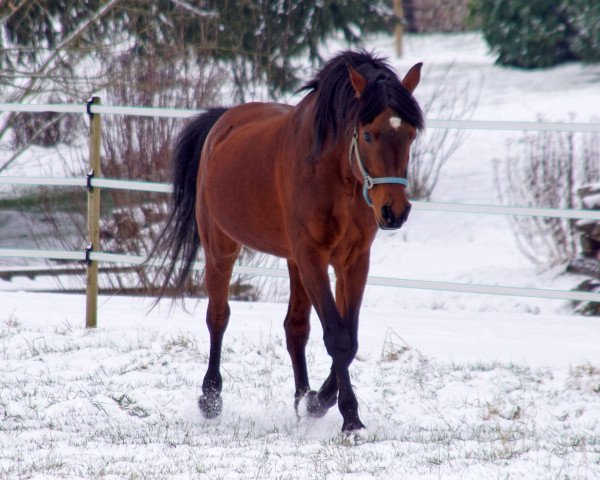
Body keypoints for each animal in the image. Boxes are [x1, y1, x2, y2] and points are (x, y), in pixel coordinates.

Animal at [152, 50, 424, 434]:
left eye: (411, 135)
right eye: (369, 135)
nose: (394, 211)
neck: (333, 175)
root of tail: (223, 120)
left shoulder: (352, 261)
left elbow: (349, 336)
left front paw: (317, 402)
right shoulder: (312, 256)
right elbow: (338, 337)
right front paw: (350, 418)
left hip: (292, 262)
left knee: (295, 327)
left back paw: (301, 397)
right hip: (221, 248)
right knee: (218, 317)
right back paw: (211, 399)